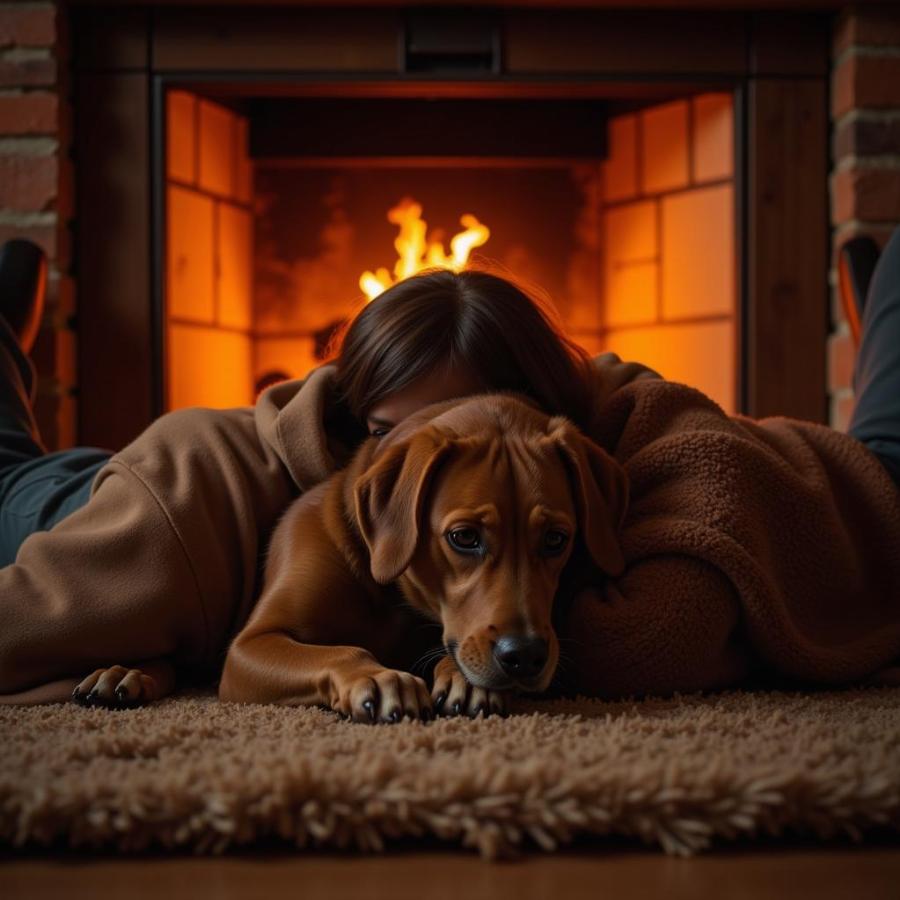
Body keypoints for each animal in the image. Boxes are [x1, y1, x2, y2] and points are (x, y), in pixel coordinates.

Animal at [217, 390, 624, 720]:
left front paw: (462, 678)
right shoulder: (251, 645)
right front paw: (377, 677)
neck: (387, 588)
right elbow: (339, 651)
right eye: (464, 537)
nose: (525, 656)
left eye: (556, 539)